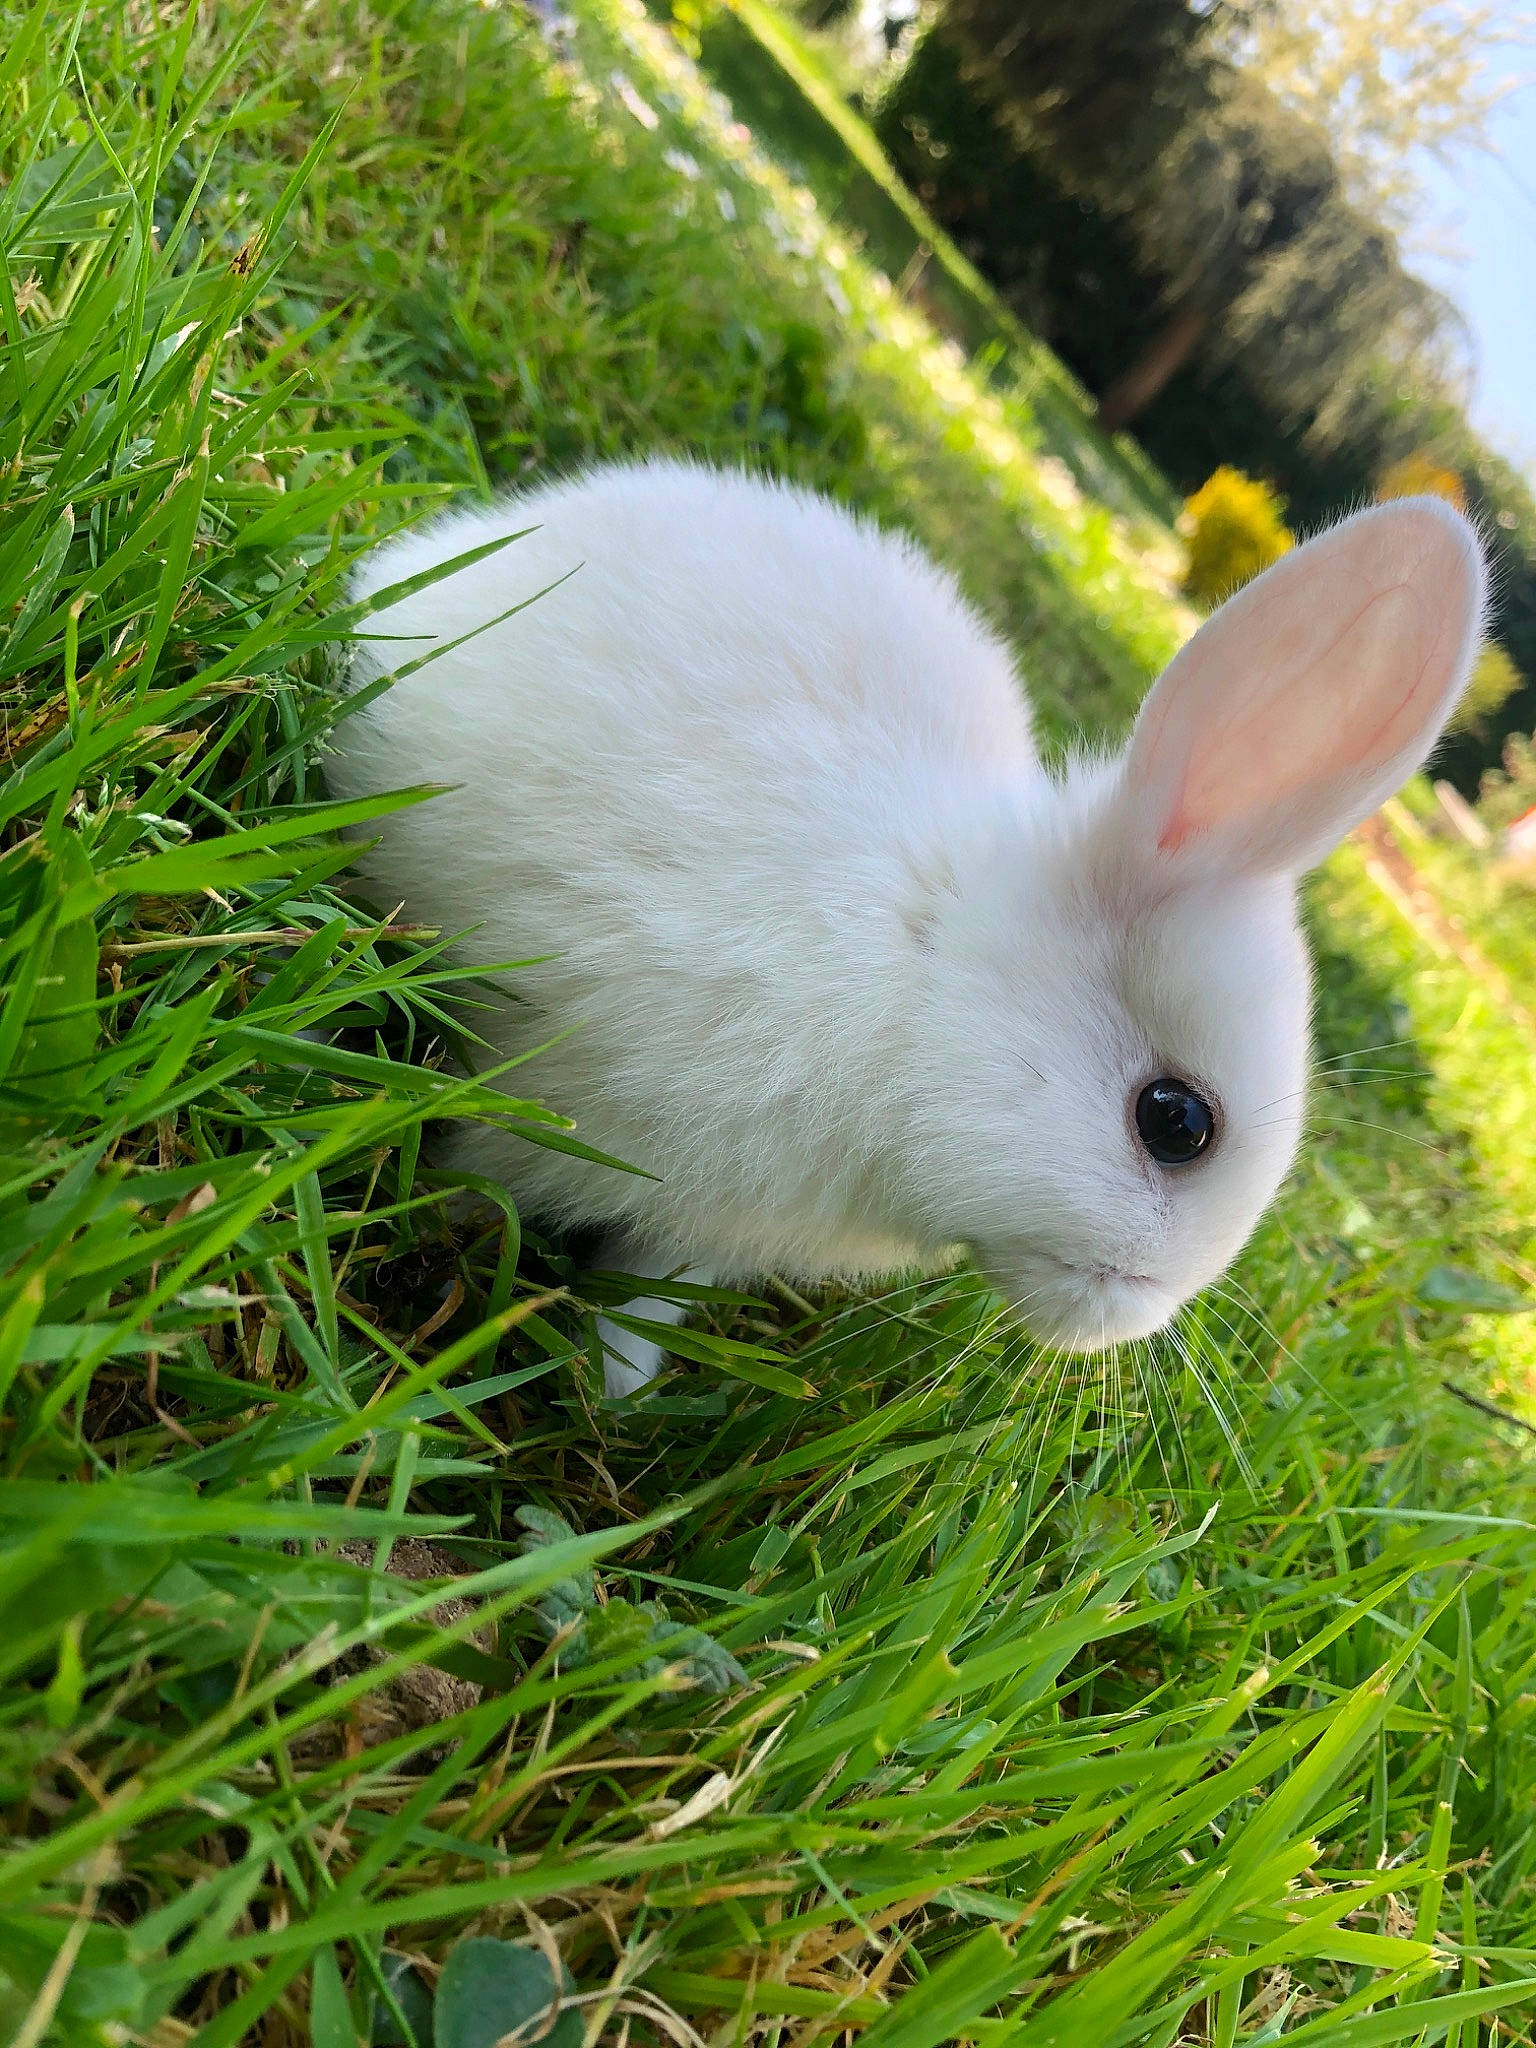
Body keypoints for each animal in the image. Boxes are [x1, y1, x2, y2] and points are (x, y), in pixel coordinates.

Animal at [328, 458, 1486, 1397]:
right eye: (1174, 1121)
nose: (1126, 1319)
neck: (926, 958)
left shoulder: (695, 1222)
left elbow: (644, 1301)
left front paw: (618, 1393)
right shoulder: (559, 1099)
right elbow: (474, 1168)